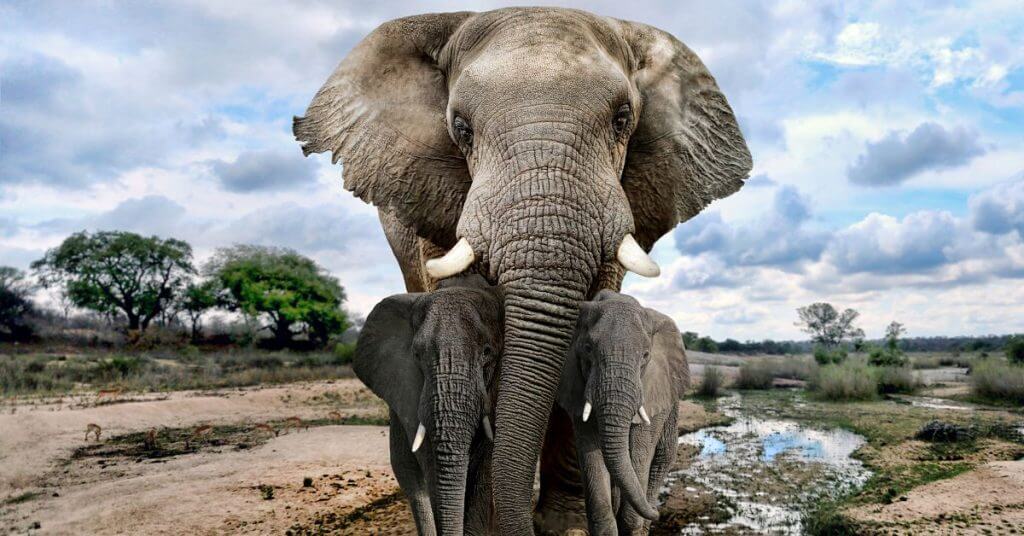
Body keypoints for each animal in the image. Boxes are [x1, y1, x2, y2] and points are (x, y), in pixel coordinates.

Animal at [558, 290, 689, 535]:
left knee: (662, 458)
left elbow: (640, 449)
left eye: (645, 355)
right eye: (588, 348)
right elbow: (590, 450)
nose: (658, 512)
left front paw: (634, 522)